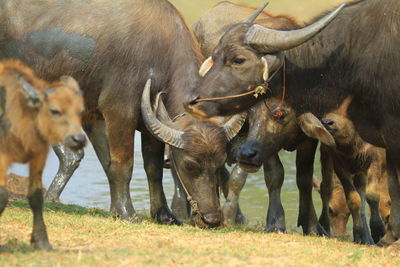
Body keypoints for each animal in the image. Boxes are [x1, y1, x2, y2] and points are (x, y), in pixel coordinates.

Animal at [0, 60, 85, 251]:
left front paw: (41, 241)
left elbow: (36, 196)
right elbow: (2, 195)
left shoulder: (38, 157)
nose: (79, 139)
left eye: (80, 111)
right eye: (54, 110)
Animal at [187, 0, 400, 247]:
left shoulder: (311, 140)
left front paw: (312, 225)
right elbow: (275, 175)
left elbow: (304, 179)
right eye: (250, 115)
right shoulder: (265, 143)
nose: (192, 99)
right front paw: (275, 221)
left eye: (238, 59)